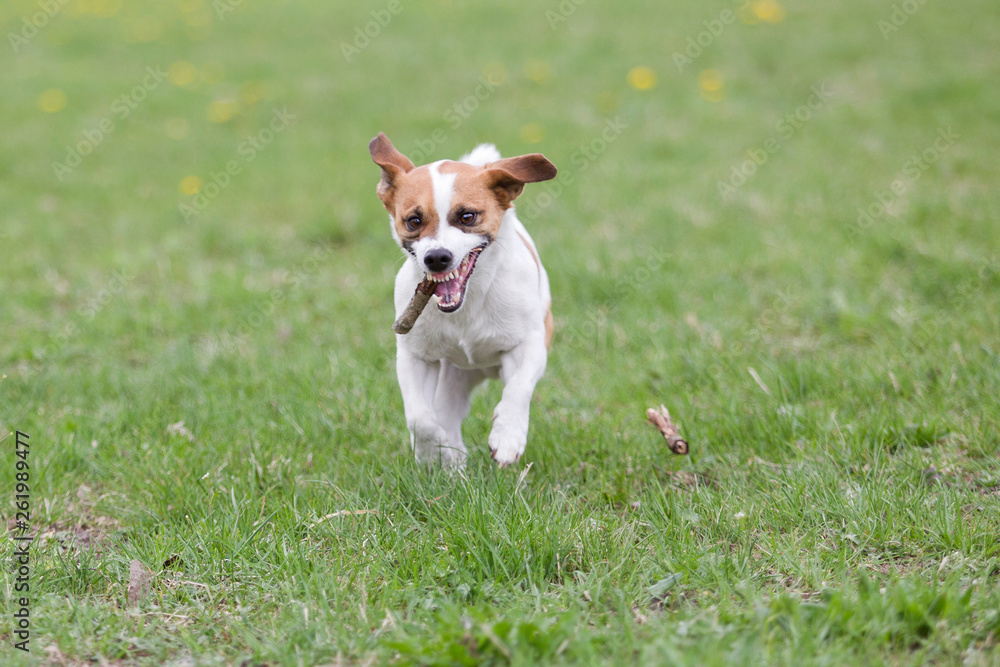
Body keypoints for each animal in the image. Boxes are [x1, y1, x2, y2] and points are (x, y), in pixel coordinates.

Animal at [370, 133, 560, 468]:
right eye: (413, 220)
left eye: (467, 216)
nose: (437, 257)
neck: (469, 302)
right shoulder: (414, 356)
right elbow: (420, 417)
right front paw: (431, 452)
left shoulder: (531, 343)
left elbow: (518, 388)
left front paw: (507, 437)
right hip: (454, 376)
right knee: (446, 412)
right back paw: (453, 461)